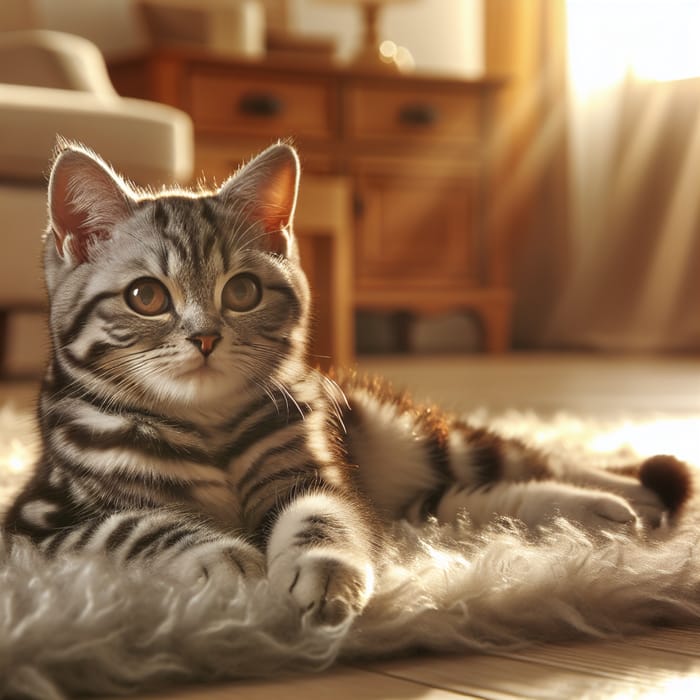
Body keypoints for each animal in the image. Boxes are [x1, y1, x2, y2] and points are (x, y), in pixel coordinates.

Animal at [4, 141, 696, 624]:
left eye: (242, 291)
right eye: (146, 297)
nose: (205, 337)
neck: (206, 427)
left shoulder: (315, 474)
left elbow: (323, 518)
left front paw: (323, 570)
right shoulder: (36, 522)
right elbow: (135, 525)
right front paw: (220, 556)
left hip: (407, 435)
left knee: (525, 459)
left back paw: (624, 495)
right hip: (406, 492)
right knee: (454, 504)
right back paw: (602, 509)